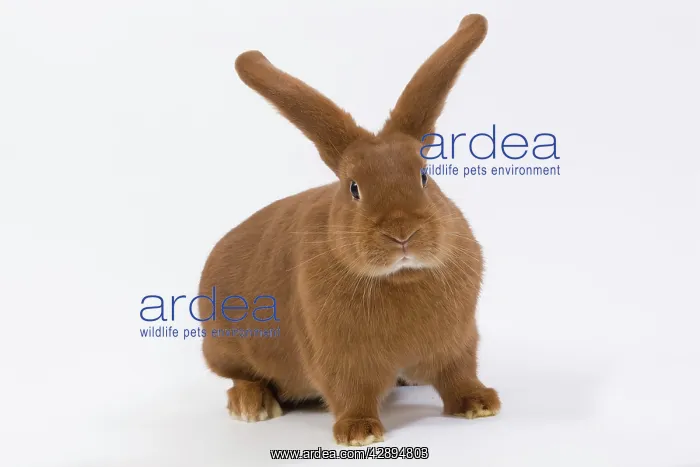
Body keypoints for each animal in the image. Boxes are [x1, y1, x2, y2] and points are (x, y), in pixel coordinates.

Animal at [197, 13, 499, 446]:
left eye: (425, 175)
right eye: (353, 188)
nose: (402, 232)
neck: (401, 278)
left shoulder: (457, 344)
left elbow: (459, 376)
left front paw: (480, 404)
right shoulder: (339, 358)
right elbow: (350, 392)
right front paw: (359, 433)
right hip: (225, 347)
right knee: (240, 376)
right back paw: (252, 406)